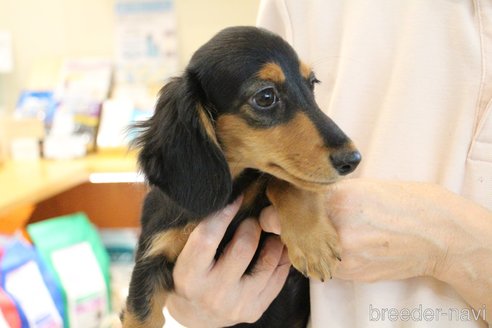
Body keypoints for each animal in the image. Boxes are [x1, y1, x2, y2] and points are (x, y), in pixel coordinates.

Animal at [123, 26, 362, 328]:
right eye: (265, 97)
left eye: (312, 84)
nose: (352, 159)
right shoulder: (151, 259)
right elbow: (139, 316)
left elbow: (284, 180)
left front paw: (313, 242)